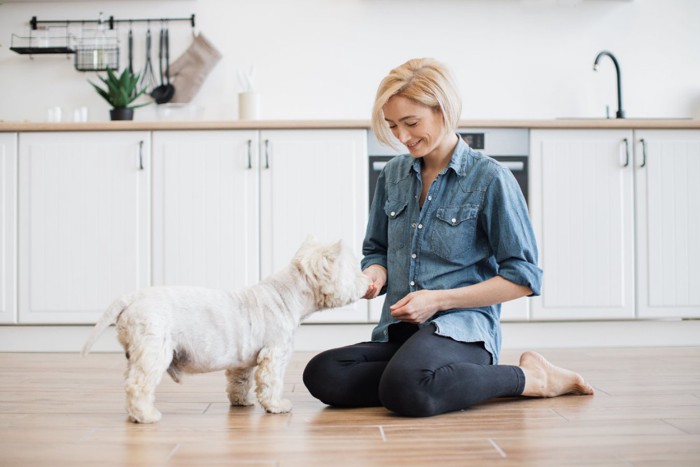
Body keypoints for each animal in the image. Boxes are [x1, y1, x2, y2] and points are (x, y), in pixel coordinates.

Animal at [82, 238, 370, 424]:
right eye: (355, 271)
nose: (368, 281)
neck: (286, 295)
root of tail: (130, 298)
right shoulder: (275, 354)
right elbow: (271, 383)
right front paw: (278, 406)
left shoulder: (244, 359)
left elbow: (239, 381)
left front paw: (241, 402)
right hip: (154, 349)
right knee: (138, 385)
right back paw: (146, 416)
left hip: (136, 352)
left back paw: (133, 414)